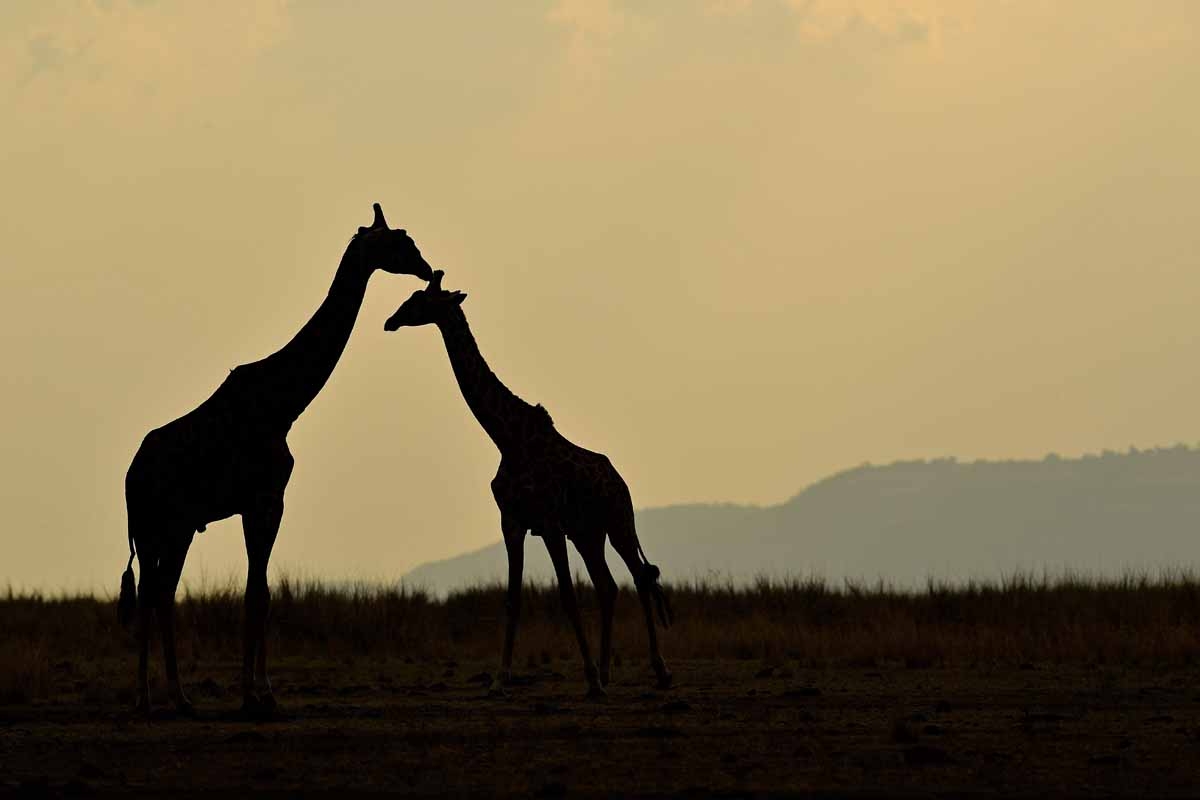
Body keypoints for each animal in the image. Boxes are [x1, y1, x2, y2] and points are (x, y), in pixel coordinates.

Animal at [117, 205, 434, 714]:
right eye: (398, 242)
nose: (426, 269)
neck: (283, 404)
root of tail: (130, 474)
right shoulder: (261, 500)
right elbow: (253, 593)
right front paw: (253, 695)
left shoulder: (269, 502)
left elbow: (262, 592)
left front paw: (264, 693)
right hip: (152, 527)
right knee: (149, 593)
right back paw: (148, 700)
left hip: (177, 528)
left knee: (161, 592)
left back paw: (181, 699)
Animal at [384, 272, 672, 695]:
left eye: (420, 300)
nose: (391, 321)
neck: (506, 437)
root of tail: (621, 483)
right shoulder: (513, 521)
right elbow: (512, 598)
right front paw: (499, 680)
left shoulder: (549, 521)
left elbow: (567, 595)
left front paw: (589, 679)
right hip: (587, 533)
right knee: (608, 585)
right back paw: (607, 672)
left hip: (619, 523)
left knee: (638, 578)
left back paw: (658, 671)